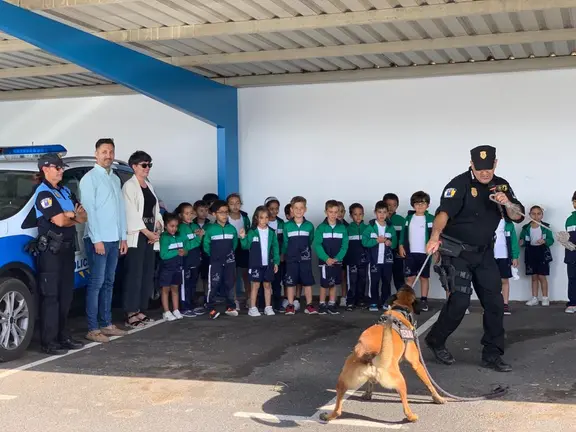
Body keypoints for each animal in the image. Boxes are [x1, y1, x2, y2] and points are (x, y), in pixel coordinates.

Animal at [320, 286, 446, 424]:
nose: (407, 285)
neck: (399, 309)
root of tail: (368, 354)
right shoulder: (417, 364)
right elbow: (429, 384)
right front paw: (438, 398)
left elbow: (370, 383)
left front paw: (367, 395)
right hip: (400, 381)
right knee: (405, 407)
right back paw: (412, 417)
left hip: (342, 381)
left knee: (338, 409)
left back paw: (327, 416)